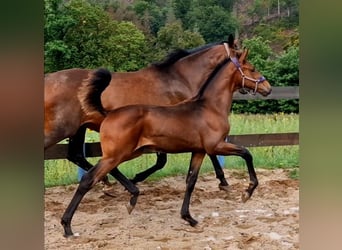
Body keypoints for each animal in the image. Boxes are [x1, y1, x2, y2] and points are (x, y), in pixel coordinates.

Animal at [44, 35, 239, 191]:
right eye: (242, 57)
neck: (178, 80)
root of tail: (47, 80)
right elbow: (164, 161)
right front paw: (223, 181)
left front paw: (223, 181)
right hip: (60, 129)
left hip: (78, 128)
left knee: (76, 155)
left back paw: (107, 181)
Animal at [60, 43, 272, 236]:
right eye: (252, 68)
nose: (268, 88)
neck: (209, 107)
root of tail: (109, 113)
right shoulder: (216, 146)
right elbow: (247, 153)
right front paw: (247, 192)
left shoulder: (199, 151)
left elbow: (191, 181)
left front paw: (189, 218)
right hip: (116, 155)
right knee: (88, 179)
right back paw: (68, 226)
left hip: (127, 153)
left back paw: (130, 196)